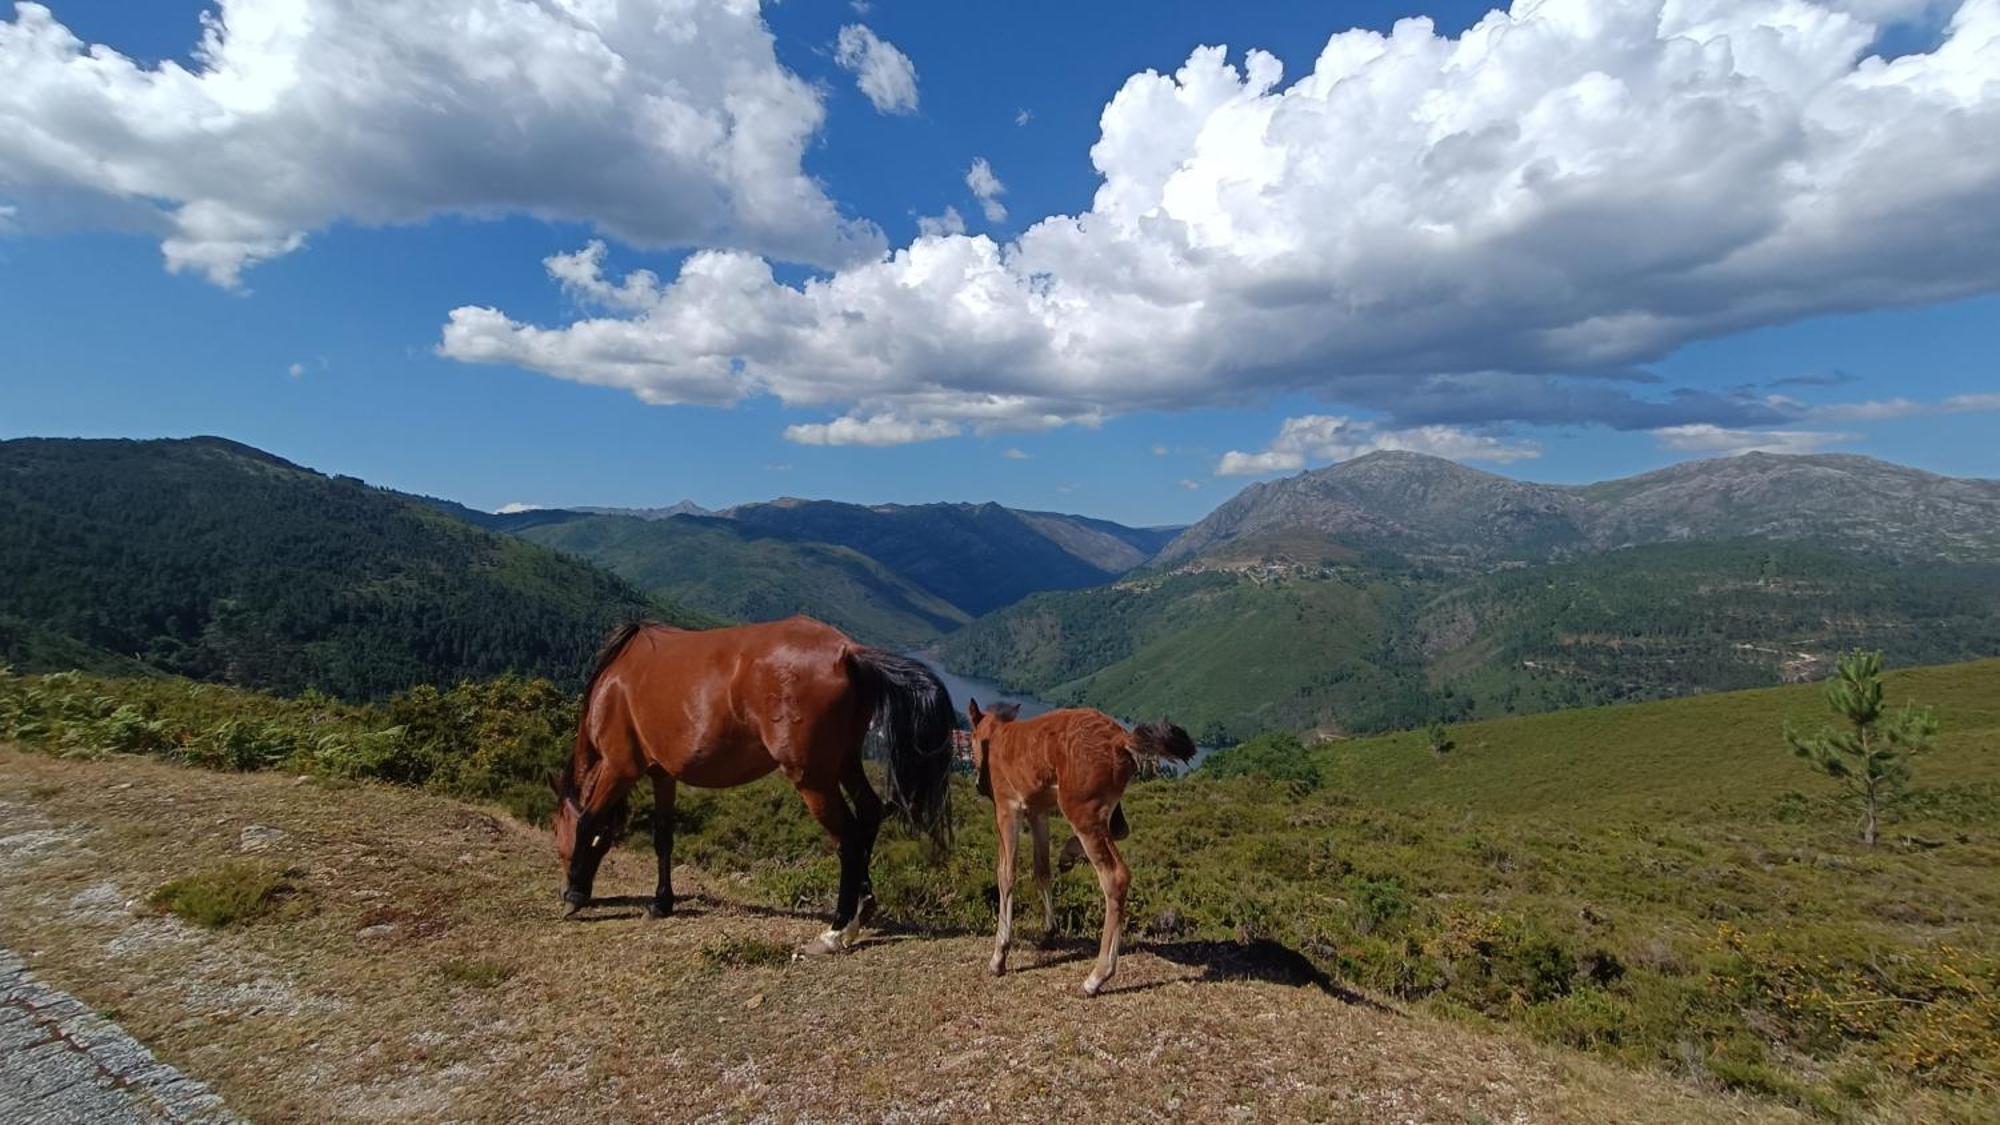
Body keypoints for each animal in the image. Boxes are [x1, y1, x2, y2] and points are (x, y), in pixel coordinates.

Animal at [548, 616, 952, 948]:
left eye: (554, 829)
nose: (565, 883)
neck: (614, 684)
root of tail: (847, 652)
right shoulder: (662, 774)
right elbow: (663, 839)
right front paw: (661, 902)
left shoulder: (620, 766)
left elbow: (588, 821)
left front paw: (575, 896)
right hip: (845, 760)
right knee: (869, 813)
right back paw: (862, 908)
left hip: (814, 778)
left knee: (848, 838)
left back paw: (836, 930)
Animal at [964, 696, 1184, 992]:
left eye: (971, 738)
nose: (979, 785)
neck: (999, 738)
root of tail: (1120, 739)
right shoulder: (1038, 811)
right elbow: (1042, 869)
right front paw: (1049, 932)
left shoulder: (1008, 808)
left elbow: (1006, 874)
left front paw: (999, 957)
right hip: (1099, 808)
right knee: (1120, 830)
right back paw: (1069, 854)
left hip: (1080, 809)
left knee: (1115, 876)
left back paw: (1097, 977)